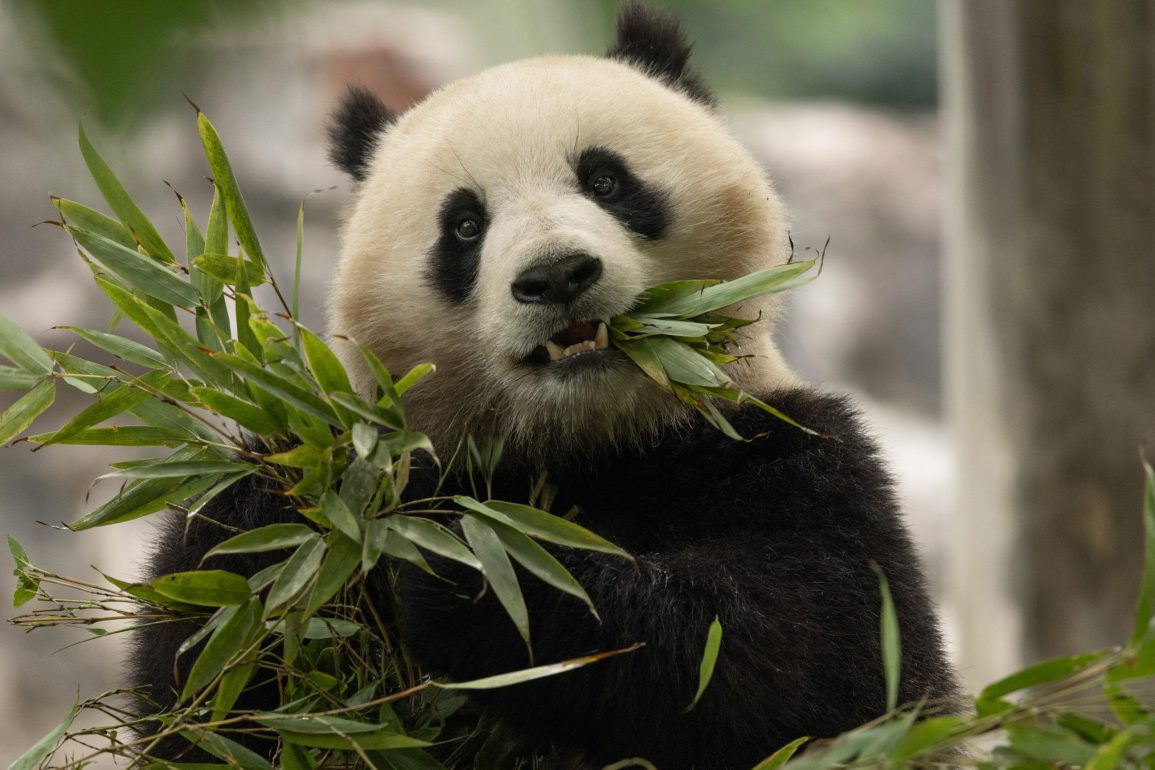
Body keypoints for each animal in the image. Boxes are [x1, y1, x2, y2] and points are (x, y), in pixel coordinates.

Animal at [128, 3, 956, 766]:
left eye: (606, 179)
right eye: (464, 225)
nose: (556, 275)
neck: (585, 441)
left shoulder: (790, 451)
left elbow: (818, 658)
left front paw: (475, 571)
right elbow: (207, 692)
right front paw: (280, 511)